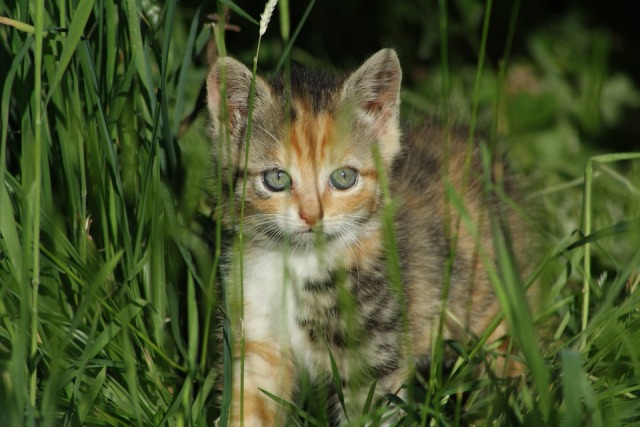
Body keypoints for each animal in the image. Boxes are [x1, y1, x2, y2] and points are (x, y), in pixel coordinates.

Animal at [208, 49, 528, 424]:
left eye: (344, 177)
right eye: (276, 179)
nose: (311, 215)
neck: (299, 262)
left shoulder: (373, 354)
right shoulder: (255, 334)